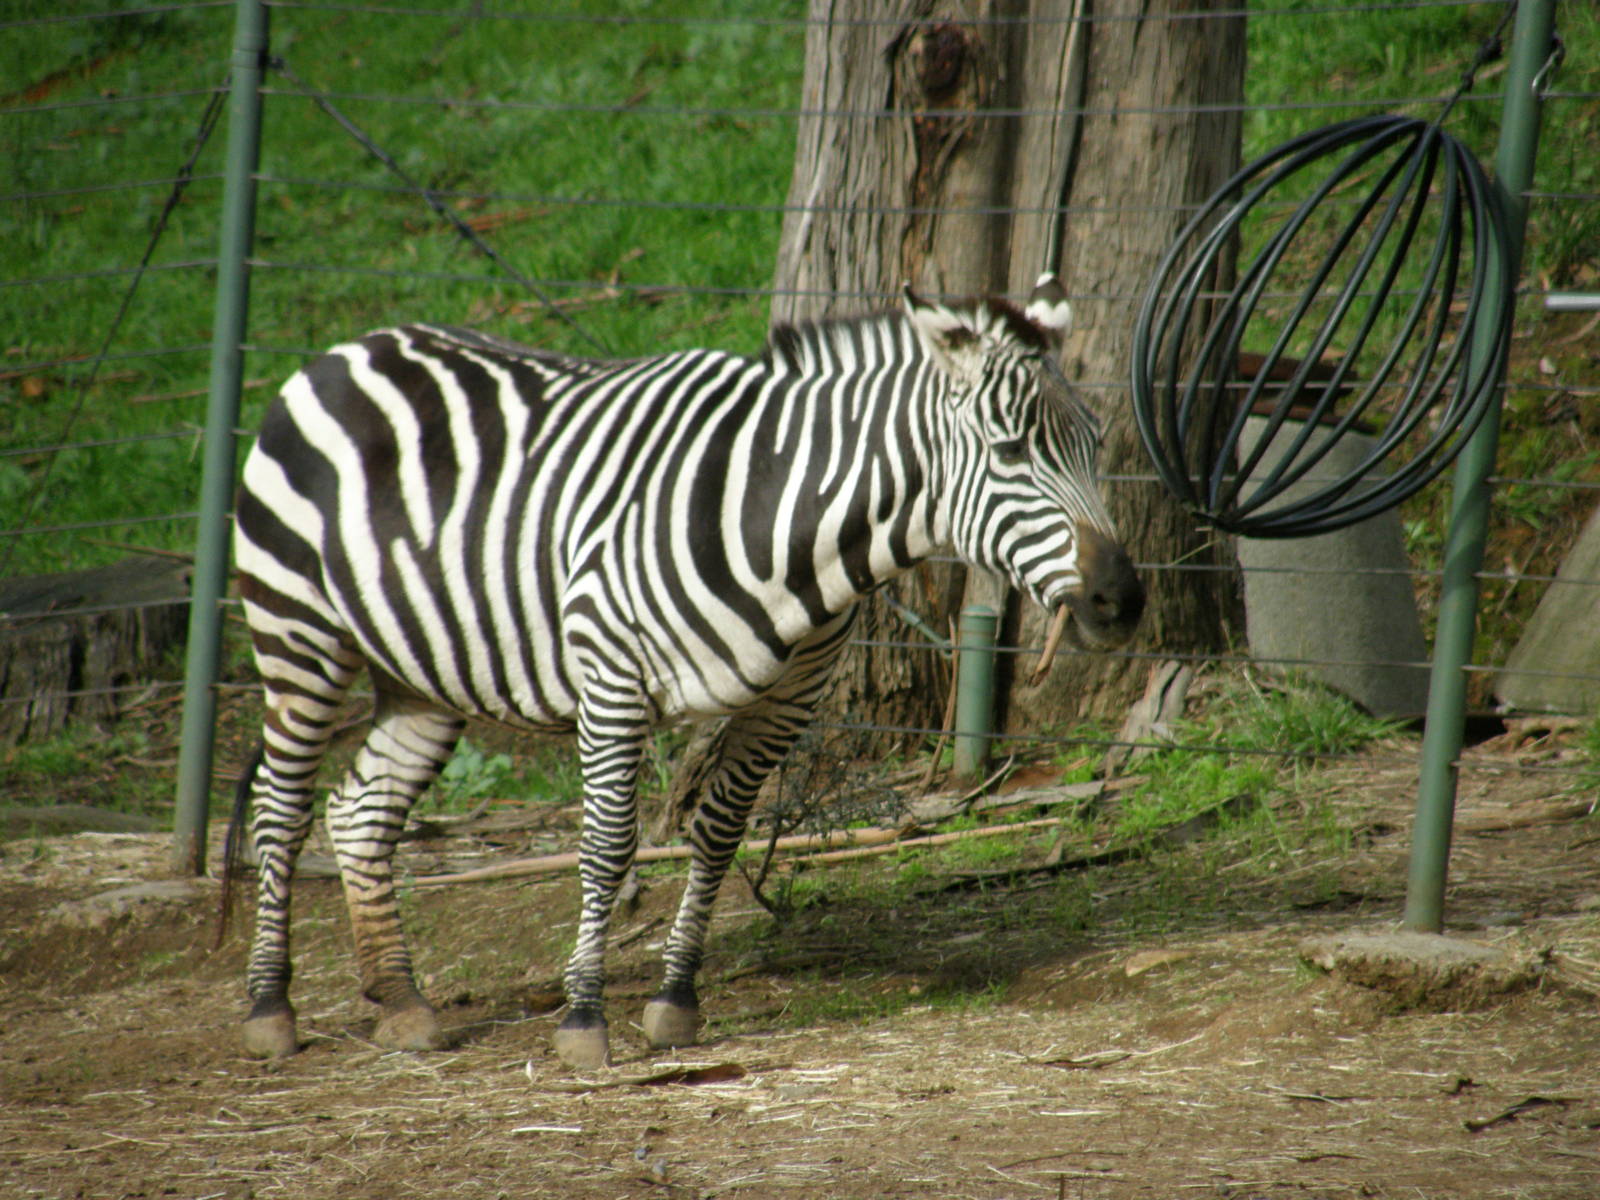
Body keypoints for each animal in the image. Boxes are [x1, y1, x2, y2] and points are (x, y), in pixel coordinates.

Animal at [226, 275, 1144, 1070]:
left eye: (1095, 445)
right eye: (1010, 449)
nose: (1123, 600)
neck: (785, 521)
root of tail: (347, 348)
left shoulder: (786, 701)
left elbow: (719, 833)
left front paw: (675, 1001)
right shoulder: (611, 680)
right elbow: (607, 846)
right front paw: (583, 1017)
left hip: (422, 673)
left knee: (359, 813)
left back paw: (402, 1000)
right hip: (298, 632)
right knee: (283, 806)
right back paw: (270, 1009)